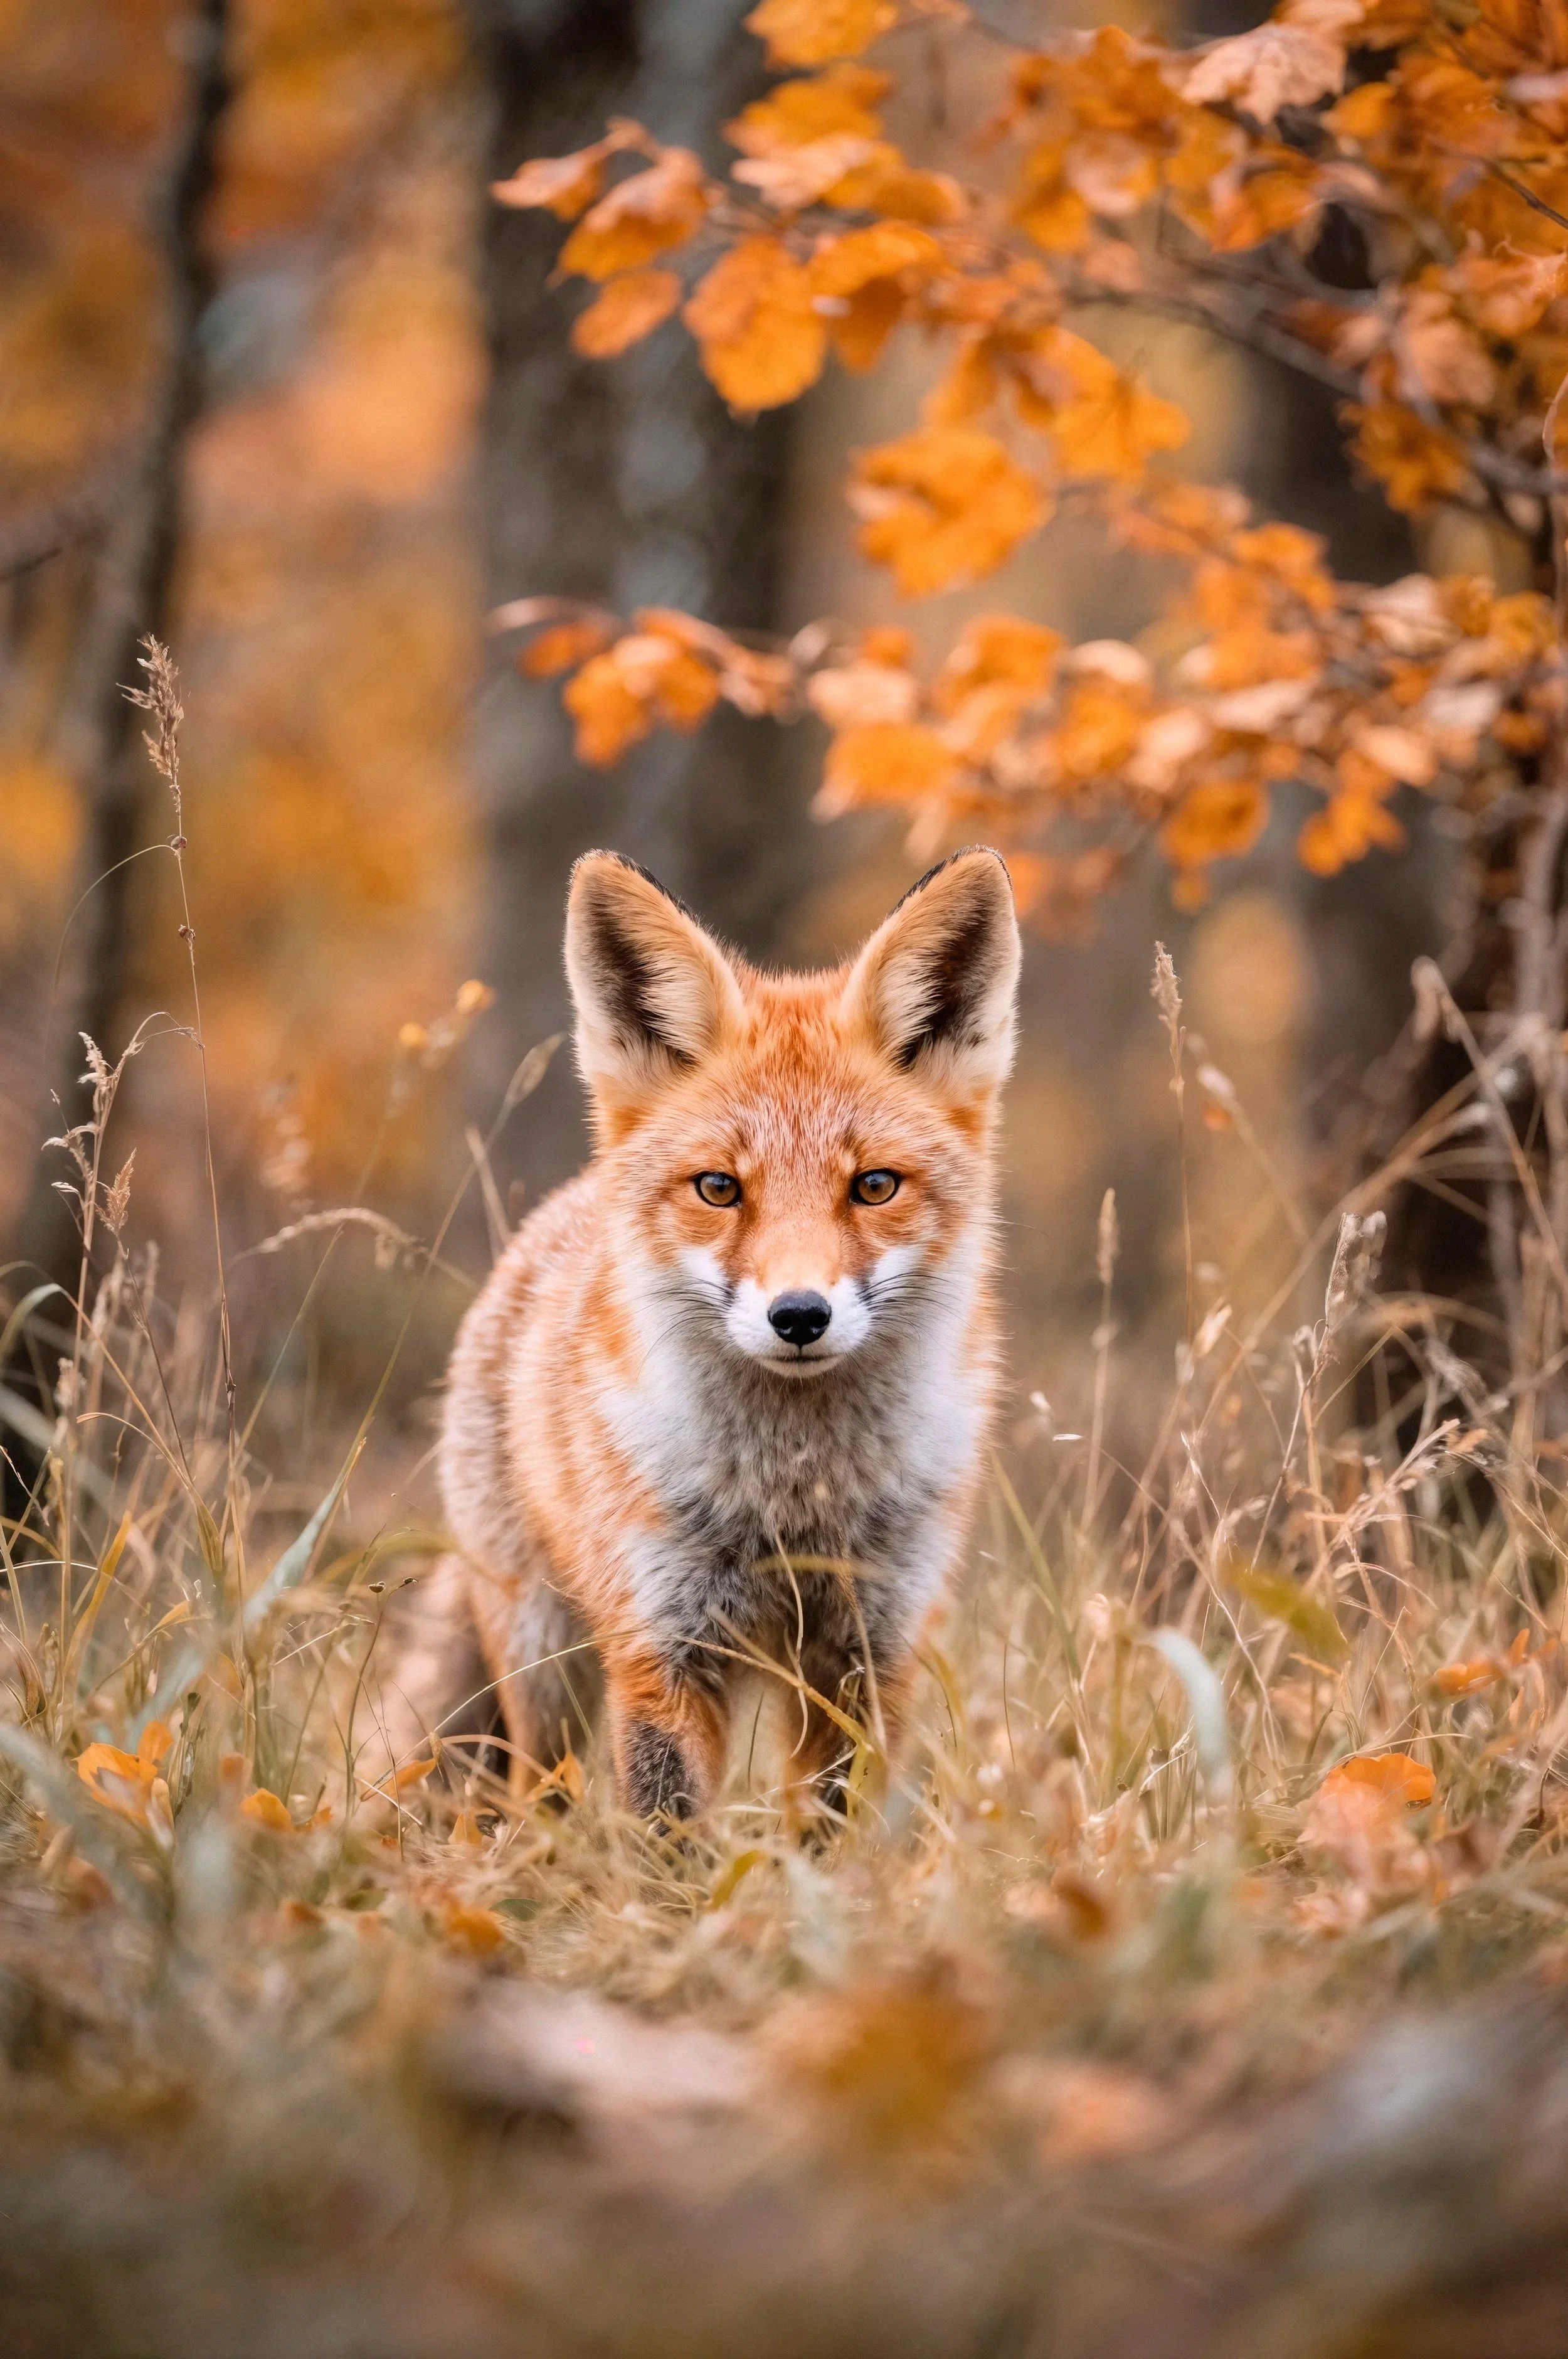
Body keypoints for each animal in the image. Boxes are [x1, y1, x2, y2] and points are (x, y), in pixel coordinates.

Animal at [420, 843, 1021, 1824]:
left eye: (874, 1186)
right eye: (718, 1188)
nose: (799, 1314)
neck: (792, 1502)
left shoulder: (867, 1655)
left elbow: (832, 1828)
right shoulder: (661, 1647)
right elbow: (671, 1834)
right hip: (544, 1664)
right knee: (531, 1793)